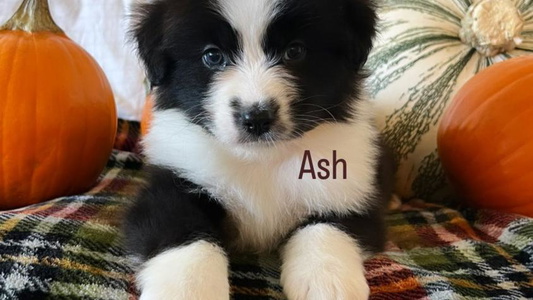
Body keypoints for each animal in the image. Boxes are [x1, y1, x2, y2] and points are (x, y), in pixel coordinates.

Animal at [122, 0, 392, 298]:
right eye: (212, 56)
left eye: (294, 51)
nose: (256, 118)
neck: (261, 160)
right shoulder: (173, 178)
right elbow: (181, 230)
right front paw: (187, 288)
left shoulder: (351, 186)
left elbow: (329, 225)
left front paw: (327, 281)